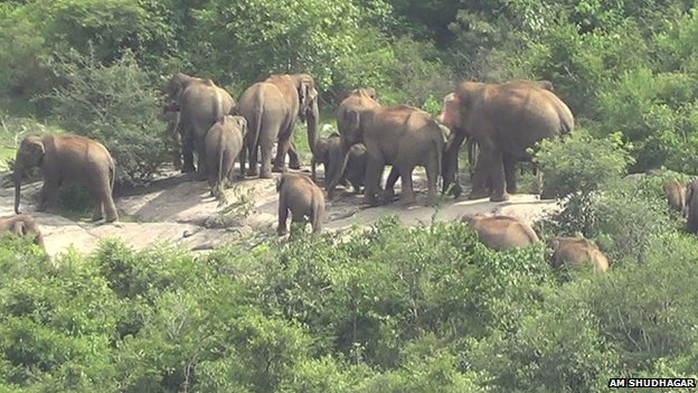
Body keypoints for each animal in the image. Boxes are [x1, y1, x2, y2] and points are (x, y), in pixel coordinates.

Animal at [440, 78, 572, 201]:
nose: (455, 192)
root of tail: (562, 113)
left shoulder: (482, 120)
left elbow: (489, 151)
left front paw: (491, 199)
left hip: (545, 130)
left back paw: (547, 196)